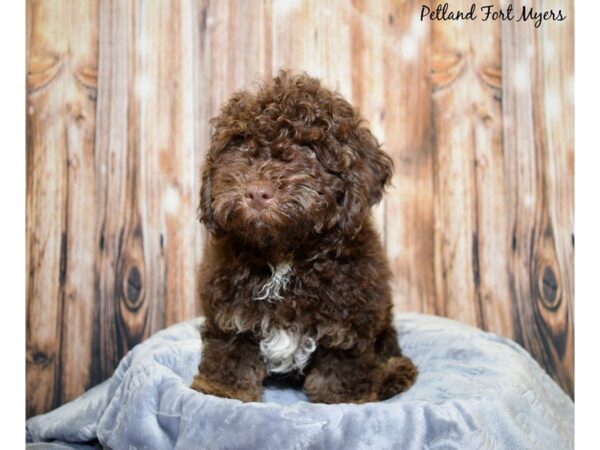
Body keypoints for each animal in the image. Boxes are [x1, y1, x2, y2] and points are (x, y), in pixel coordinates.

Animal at [192, 71, 418, 404]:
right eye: (241, 145)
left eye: (308, 149)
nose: (257, 192)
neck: (284, 253)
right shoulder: (229, 313)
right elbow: (230, 350)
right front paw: (222, 390)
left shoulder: (348, 322)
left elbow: (340, 365)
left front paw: (341, 399)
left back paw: (393, 374)